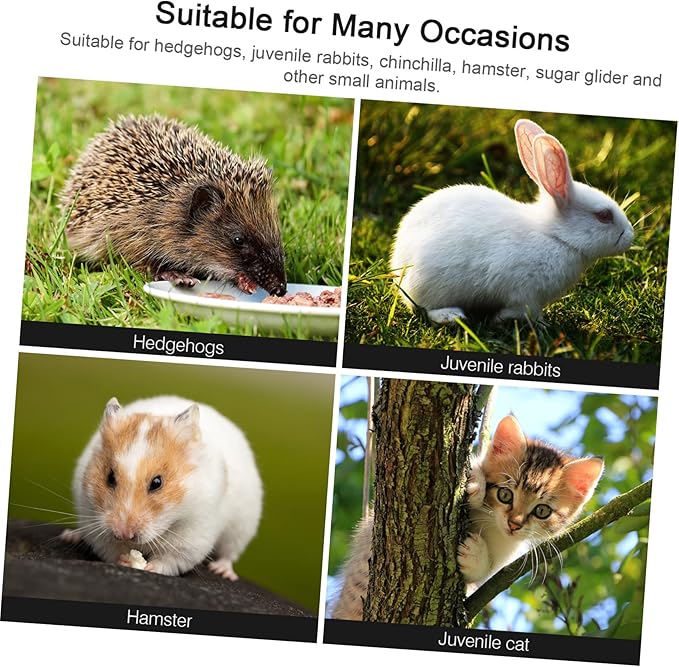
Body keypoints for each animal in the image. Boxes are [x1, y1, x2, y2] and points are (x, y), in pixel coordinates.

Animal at [390, 118, 634, 323]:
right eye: (604, 216)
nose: (630, 236)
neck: (555, 236)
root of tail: (398, 262)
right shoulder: (524, 293)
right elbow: (525, 311)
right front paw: (522, 321)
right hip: (430, 284)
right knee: (426, 307)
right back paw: (452, 316)